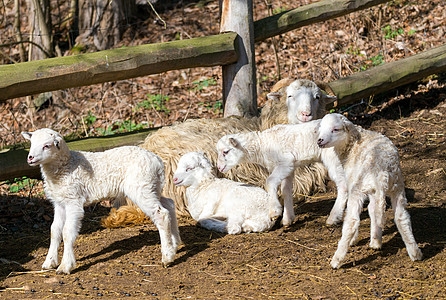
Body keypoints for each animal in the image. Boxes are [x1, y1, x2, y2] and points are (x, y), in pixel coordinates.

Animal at [20, 127, 181, 274]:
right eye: (31, 143)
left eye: (47, 145)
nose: (30, 158)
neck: (66, 165)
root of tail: (157, 161)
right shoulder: (59, 202)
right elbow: (54, 230)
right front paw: (49, 262)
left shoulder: (73, 200)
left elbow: (67, 232)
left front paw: (65, 266)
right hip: (153, 186)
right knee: (169, 204)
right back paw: (175, 244)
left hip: (142, 186)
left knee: (161, 214)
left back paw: (167, 257)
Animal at [215, 120, 348, 226]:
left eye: (226, 151)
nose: (219, 167)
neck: (262, 145)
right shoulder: (289, 167)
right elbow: (286, 190)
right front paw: (287, 219)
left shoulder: (285, 162)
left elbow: (270, 181)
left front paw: (275, 211)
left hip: (333, 156)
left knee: (343, 185)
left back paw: (333, 218)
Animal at [316, 113, 424, 268]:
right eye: (321, 128)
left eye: (335, 129)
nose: (319, 140)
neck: (350, 147)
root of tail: (383, 168)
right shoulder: (374, 191)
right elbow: (373, 211)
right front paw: (375, 241)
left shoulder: (355, 184)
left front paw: (355, 240)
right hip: (396, 186)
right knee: (401, 217)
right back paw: (415, 253)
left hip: (359, 187)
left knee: (352, 221)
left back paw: (337, 260)